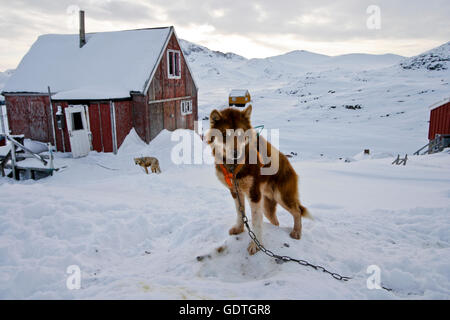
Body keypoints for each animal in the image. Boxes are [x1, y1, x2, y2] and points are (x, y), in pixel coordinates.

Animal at [206, 105, 312, 255]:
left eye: (240, 135)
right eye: (225, 134)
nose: (235, 153)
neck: (234, 166)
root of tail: (289, 165)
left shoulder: (254, 194)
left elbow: (256, 221)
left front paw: (256, 245)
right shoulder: (235, 191)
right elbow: (240, 212)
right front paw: (239, 228)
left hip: (282, 197)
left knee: (297, 211)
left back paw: (296, 232)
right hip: (267, 205)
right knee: (275, 220)